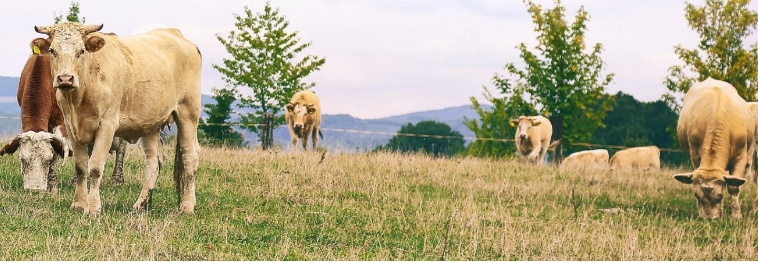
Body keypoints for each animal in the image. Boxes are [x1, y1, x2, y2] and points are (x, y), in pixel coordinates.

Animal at [31, 22, 202, 215]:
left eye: (81, 50)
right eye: (52, 50)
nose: (65, 79)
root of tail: (177, 34)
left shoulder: (107, 125)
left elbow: (95, 167)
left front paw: (93, 207)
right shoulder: (70, 126)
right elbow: (81, 167)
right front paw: (78, 204)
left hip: (188, 113)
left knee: (190, 158)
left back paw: (187, 205)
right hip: (151, 124)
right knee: (153, 162)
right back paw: (141, 204)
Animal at [672, 77, 756, 219]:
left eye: (720, 195)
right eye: (696, 195)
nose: (710, 219)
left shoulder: (741, 156)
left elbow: (734, 187)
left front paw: (736, 215)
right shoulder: (695, 155)